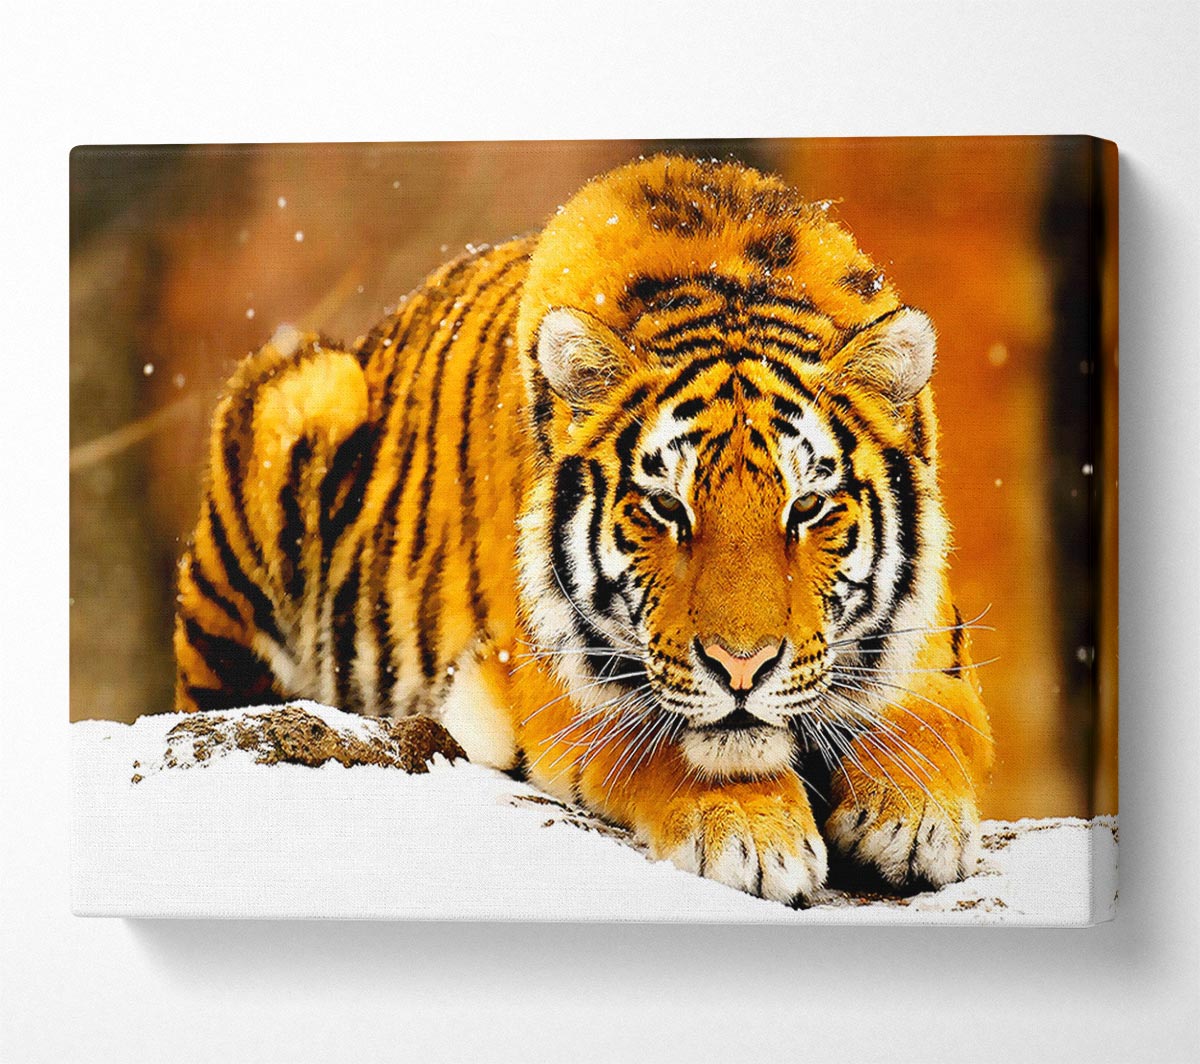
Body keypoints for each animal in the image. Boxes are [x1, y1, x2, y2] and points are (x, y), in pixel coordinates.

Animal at [174, 154, 993, 906]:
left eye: (807, 509)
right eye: (667, 508)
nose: (742, 669)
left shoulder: (934, 646)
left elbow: (931, 721)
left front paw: (912, 817)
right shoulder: (548, 676)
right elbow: (663, 741)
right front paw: (751, 832)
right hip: (301, 397)